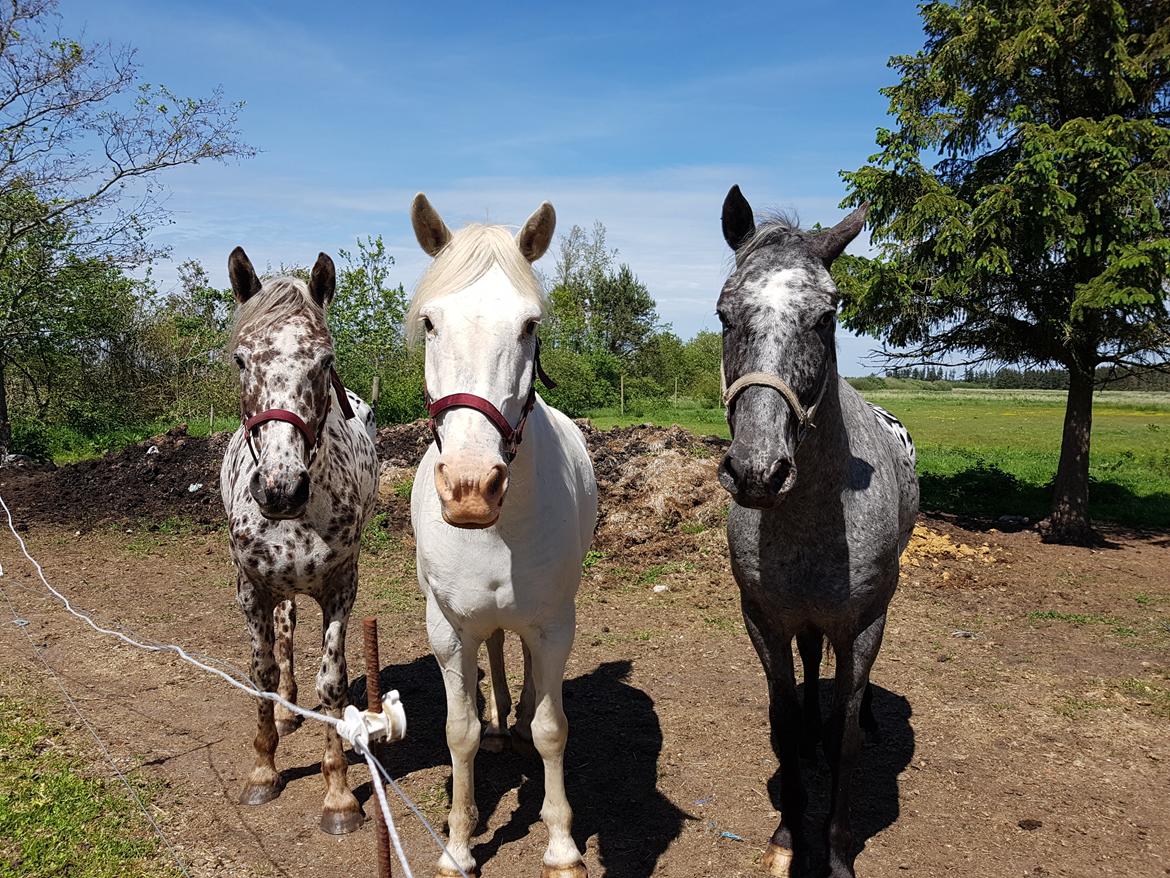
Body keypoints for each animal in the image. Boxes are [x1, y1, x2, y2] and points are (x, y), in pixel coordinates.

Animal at [219, 249, 379, 838]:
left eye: (324, 360)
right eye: (242, 360)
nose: (281, 488)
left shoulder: (340, 588)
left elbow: (332, 683)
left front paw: (339, 796)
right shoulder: (251, 588)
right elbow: (262, 672)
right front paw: (263, 769)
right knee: (285, 631)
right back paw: (288, 713)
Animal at [409, 194, 594, 878]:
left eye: (529, 325)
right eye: (430, 323)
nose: (470, 487)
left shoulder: (554, 623)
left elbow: (551, 729)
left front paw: (563, 843)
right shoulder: (447, 629)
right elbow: (457, 732)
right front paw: (459, 845)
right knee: (494, 646)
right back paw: (498, 719)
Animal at [711, 187, 921, 878]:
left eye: (828, 317)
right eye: (725, 315)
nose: (757, 471)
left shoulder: (863, 623)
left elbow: (846, 734)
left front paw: (834, 850)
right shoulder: (764, 619)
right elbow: (780, 720)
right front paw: (786, 836)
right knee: (809, 662)